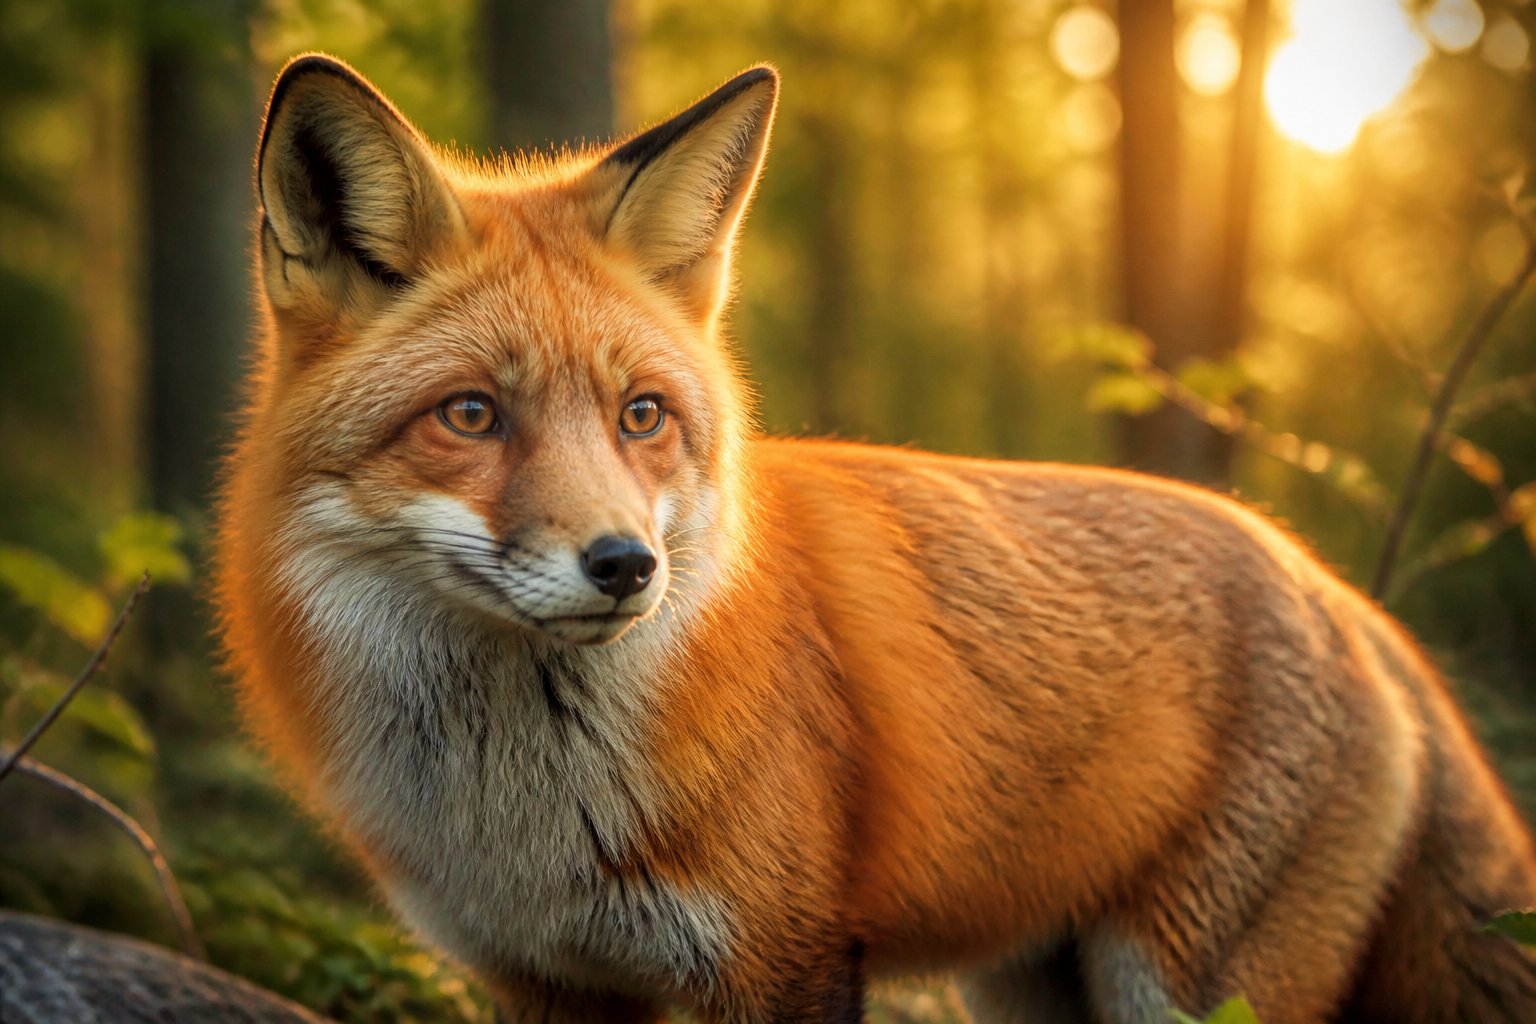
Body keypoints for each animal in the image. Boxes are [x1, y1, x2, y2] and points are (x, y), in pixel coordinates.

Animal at [214, 54, 1536, 1023]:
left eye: (642, 415)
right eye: (471, 416)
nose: (626, 566)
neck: (526, 808)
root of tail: (1342, 592)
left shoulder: (787, 954)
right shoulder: (546, 984)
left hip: (1189, 987)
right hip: (1030, 987)